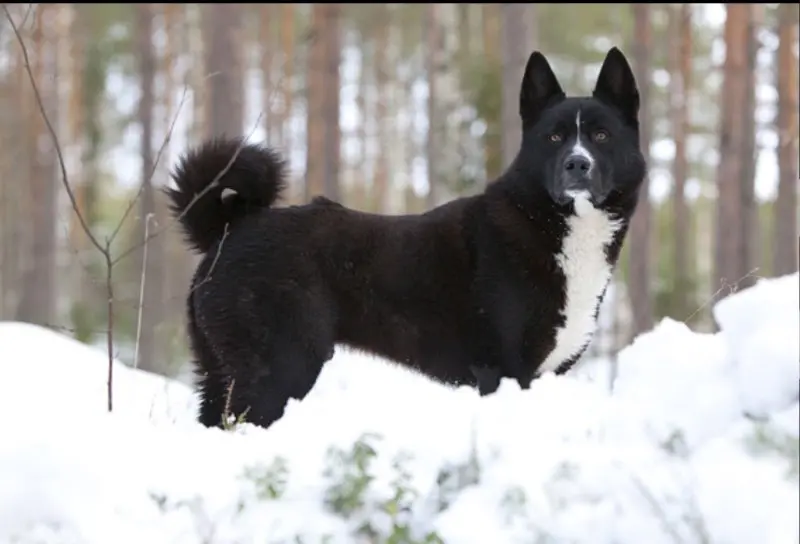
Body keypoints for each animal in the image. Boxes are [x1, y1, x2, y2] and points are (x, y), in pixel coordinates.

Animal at [166, 47, 648, 430]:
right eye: (554, 137)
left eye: (601, 135)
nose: (577, 164)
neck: (551, 223)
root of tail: (228, 229)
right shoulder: (504, 372)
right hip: (280, 368)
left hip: (222, 370)